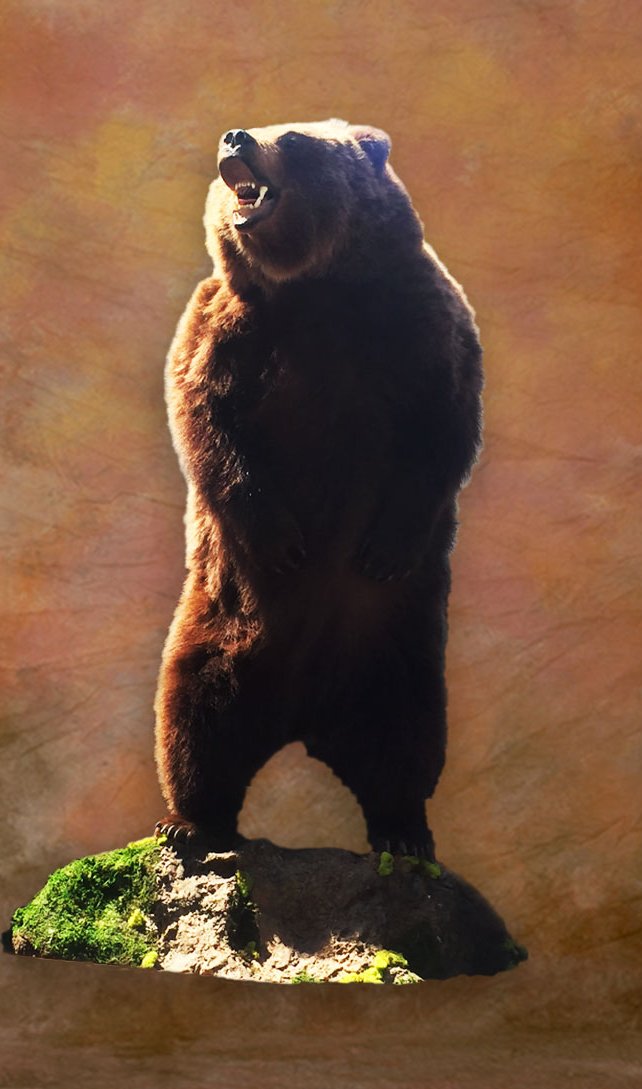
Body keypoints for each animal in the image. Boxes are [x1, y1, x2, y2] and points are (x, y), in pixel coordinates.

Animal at [154, 119, 483, 860]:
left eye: (294, 138)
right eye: (261, 124)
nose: (235, 136)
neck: (315, 288)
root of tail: (303, 717)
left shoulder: (417, 321)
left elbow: (444, 422)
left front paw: (383, 549)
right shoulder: (227, 325)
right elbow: (204, 417)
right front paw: (280, 543)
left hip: (396, 646)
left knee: (404, 739)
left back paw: (404, 834)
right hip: (221, 625)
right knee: (195, 715)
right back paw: (190, 822)